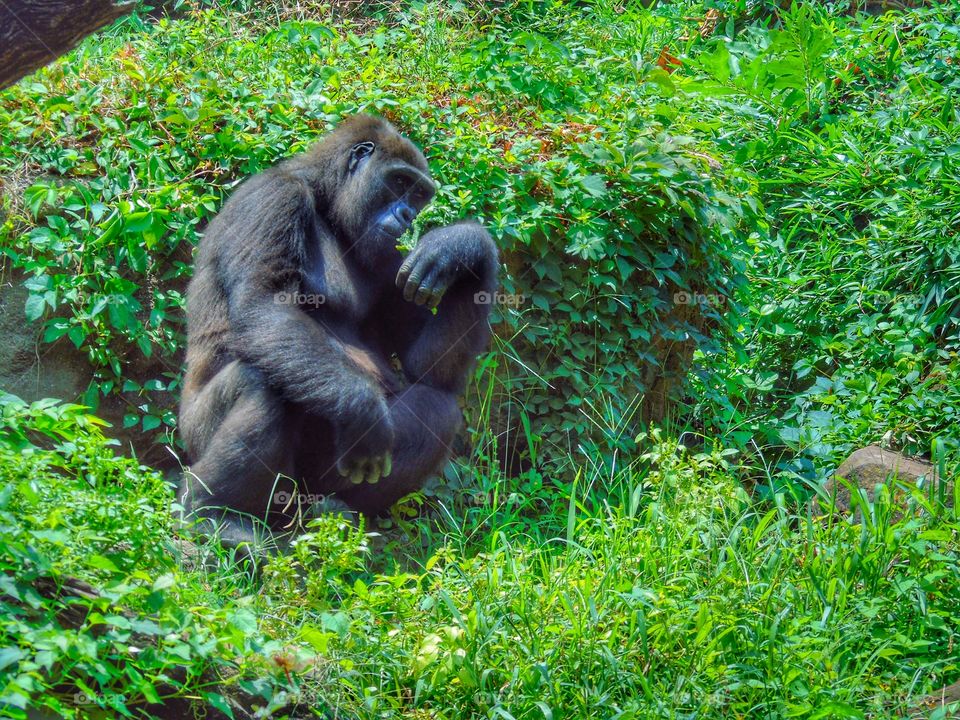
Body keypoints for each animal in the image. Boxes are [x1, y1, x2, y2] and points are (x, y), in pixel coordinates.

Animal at [177, 114, 499, 548]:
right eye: (399, 182)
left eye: (418, 195)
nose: (407, 216)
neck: (325, 201)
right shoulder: (274, 197)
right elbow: (264, 307)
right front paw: (362, 410)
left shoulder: (389, 255)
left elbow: (427, 368)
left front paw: (464, 248)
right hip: (195, 435)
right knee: (263, 383)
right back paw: (209, 512)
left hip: (312, 486)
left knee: (439, 409)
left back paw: (337, 511)